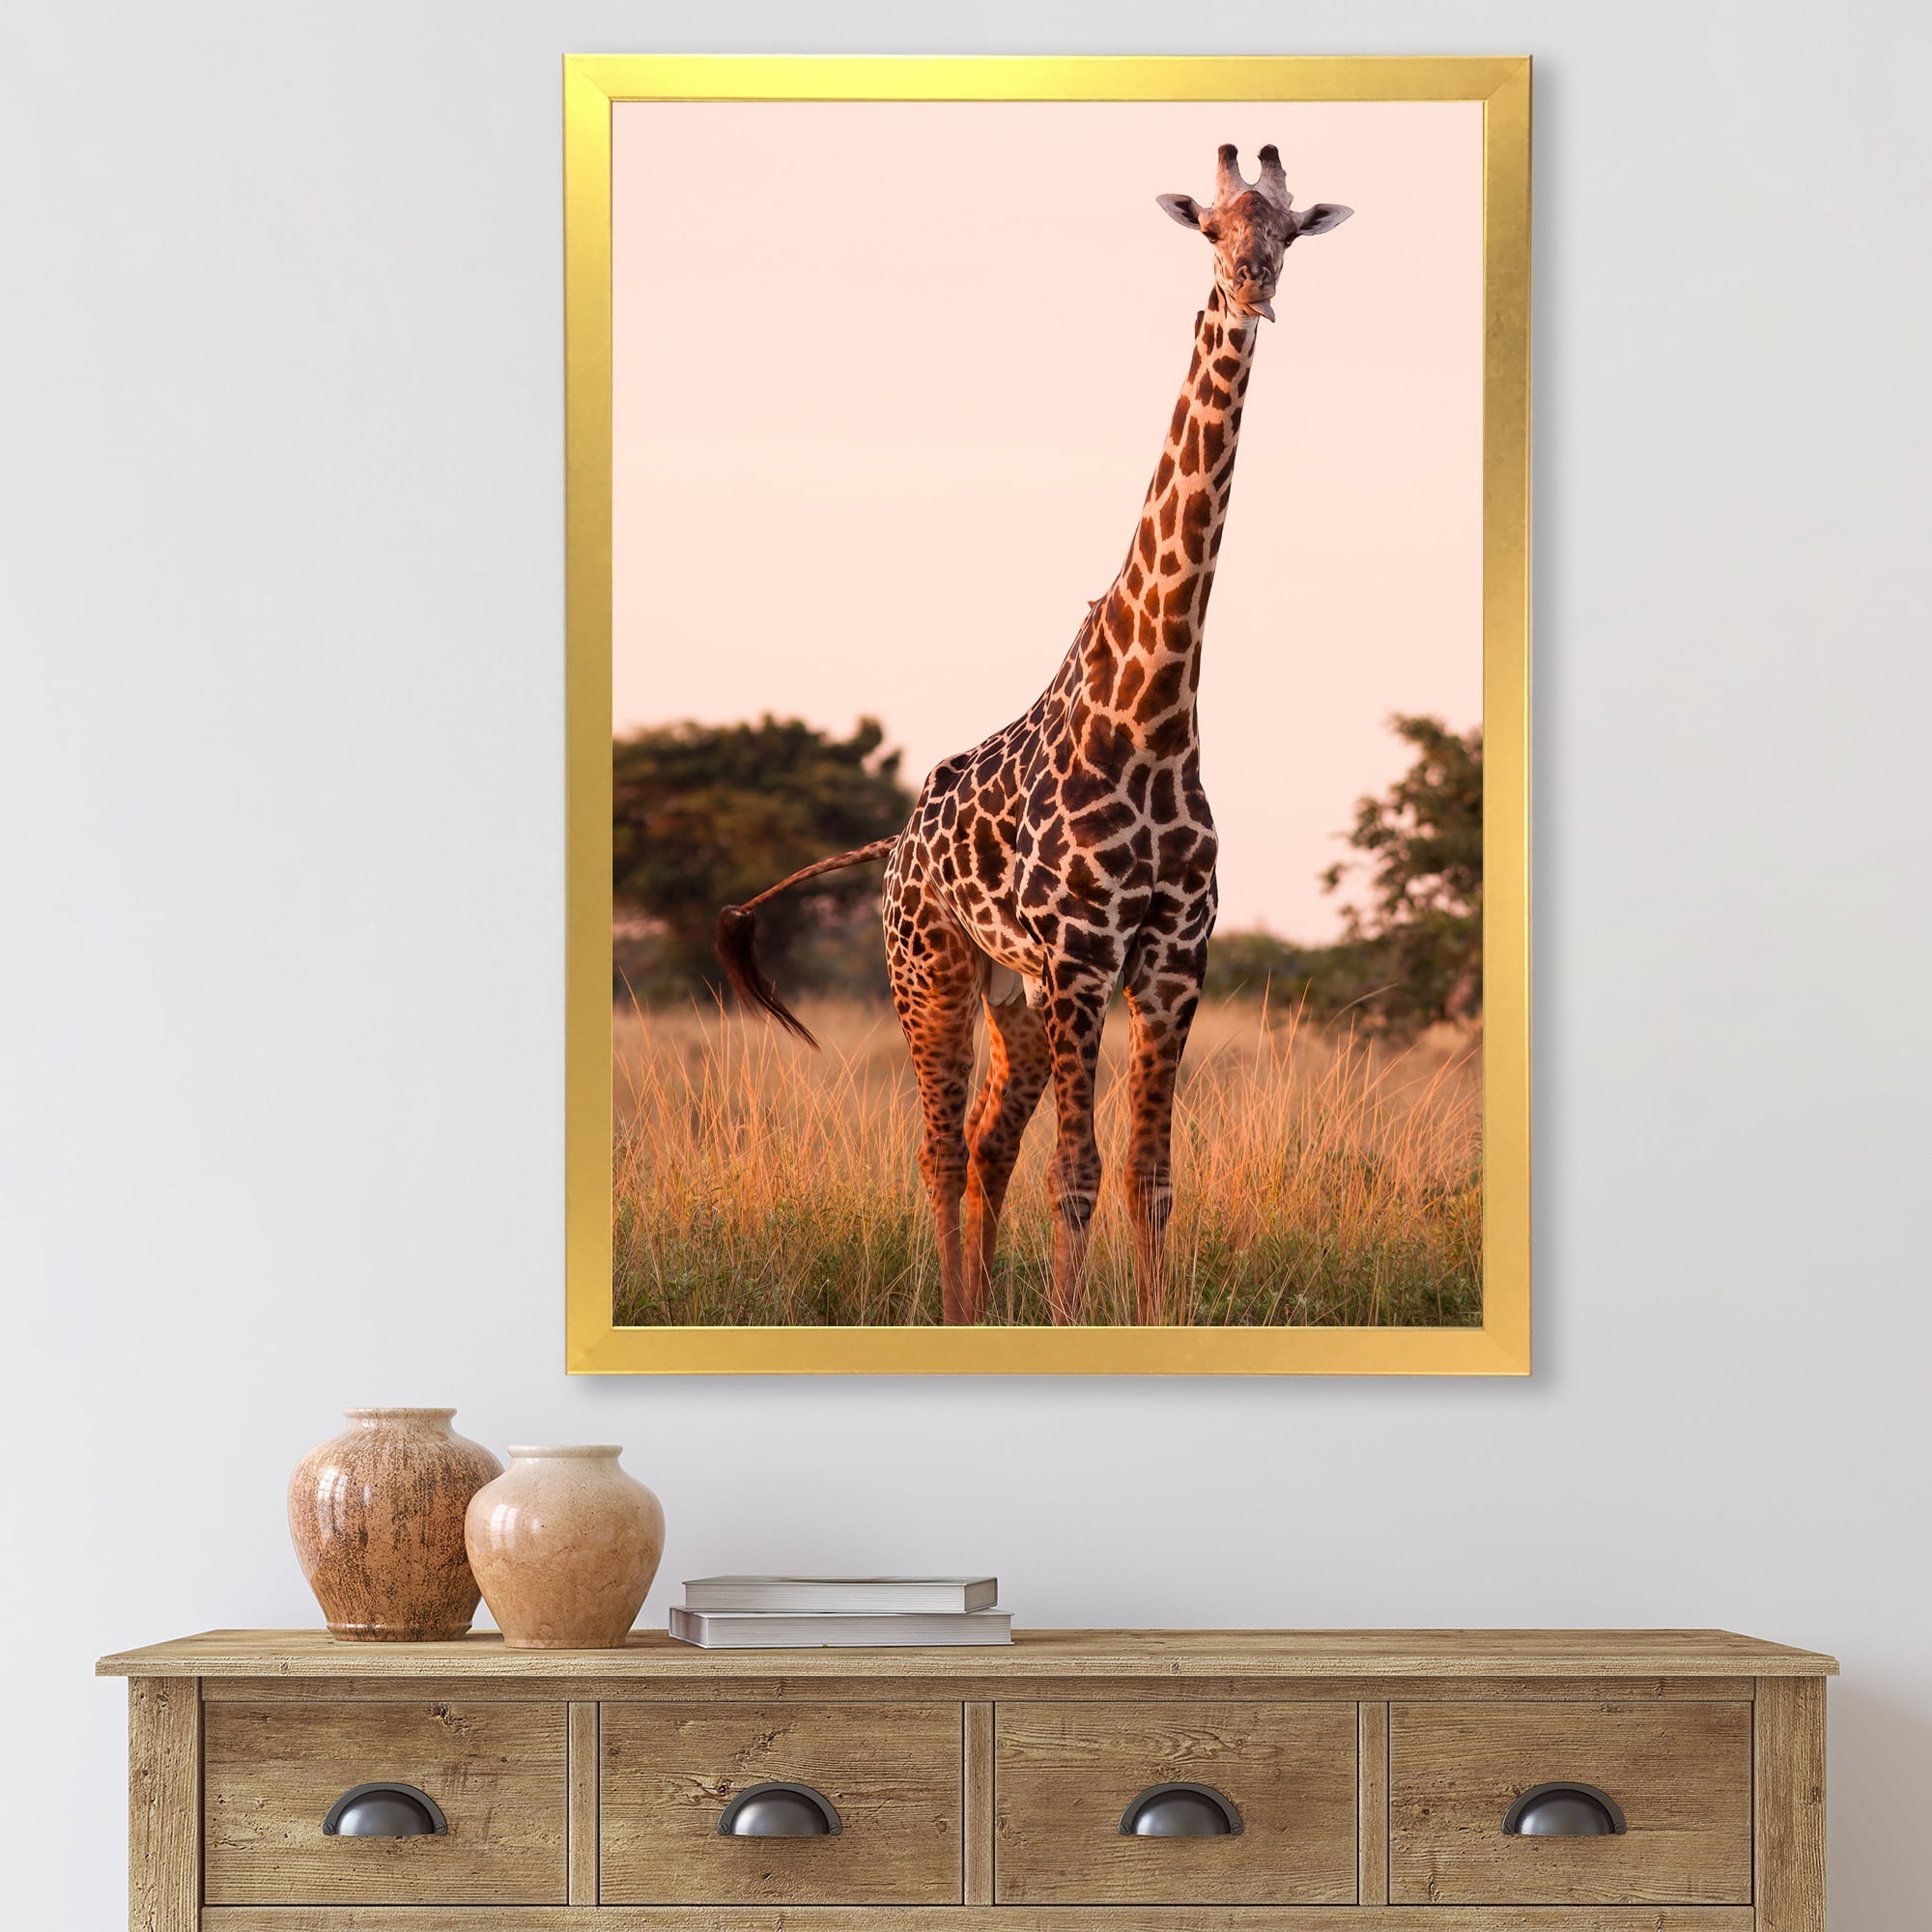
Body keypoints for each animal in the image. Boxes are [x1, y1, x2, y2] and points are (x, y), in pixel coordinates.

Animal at [717, 144, 1351, 1326]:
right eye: (1211, 230)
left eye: (1288, 231)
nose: (1252, 287)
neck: (1154, 716)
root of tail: (895, 845)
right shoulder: (1081, 958)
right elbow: (1079, 1172)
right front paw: (1068, 1320)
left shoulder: (1171, 963)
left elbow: (1149, 1176)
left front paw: (1152, 1322)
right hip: (932, 970)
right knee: (937, 1148)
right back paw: (952, 1312)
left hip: (1010, 996)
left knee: (982, 1144)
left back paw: (973, 1308)